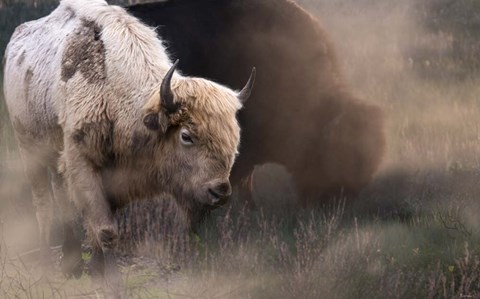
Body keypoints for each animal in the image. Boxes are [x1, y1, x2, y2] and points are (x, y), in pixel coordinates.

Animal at [2, 0, 255, 294]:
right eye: (186, 136)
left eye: (234, 134)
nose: (220, 191)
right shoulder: (83, 164)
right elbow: (105, 230)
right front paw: (112, 284)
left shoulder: (113, 178)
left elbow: (99, 224)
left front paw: (96, 271)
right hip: (29, 150)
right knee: (43, 204)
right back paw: (45, 265)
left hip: (54, 158)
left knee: (62, 201)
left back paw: (72, 265)